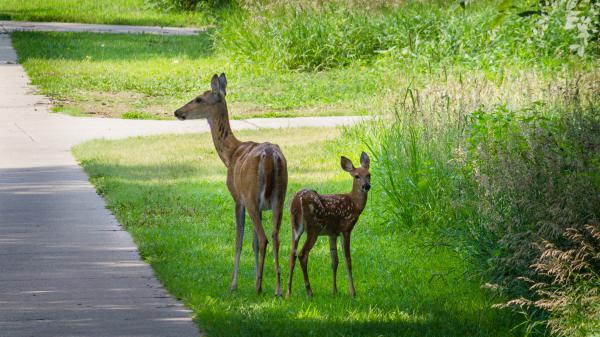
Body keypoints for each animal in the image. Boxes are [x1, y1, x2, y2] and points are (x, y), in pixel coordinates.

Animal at [173, 73, 288, 294]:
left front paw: (234, 284)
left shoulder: (238, 198)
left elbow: (239, 241)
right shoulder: (262, 205)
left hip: (251, 196)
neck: (230, 154)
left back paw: (259, 288)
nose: (177, 112)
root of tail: (270, 156)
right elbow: (252, 242)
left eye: (199, 99)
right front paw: (255, 278)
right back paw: (277, 289)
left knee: (264, 238)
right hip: (280, 197)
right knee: (275, 236)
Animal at [286, 151, 370, 296]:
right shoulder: (345, 229)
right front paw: (352, 292)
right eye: (357, 176)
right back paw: (309, 291)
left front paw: (334, 291)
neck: (354, 204)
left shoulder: (332, 233)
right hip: (314, 227)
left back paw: (287, 293)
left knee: (292, 254)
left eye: (369, 174)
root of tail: (297, 200)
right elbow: (348, 260)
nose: (366, 186)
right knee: (302, 254)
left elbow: (334, 261)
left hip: (295, 227)